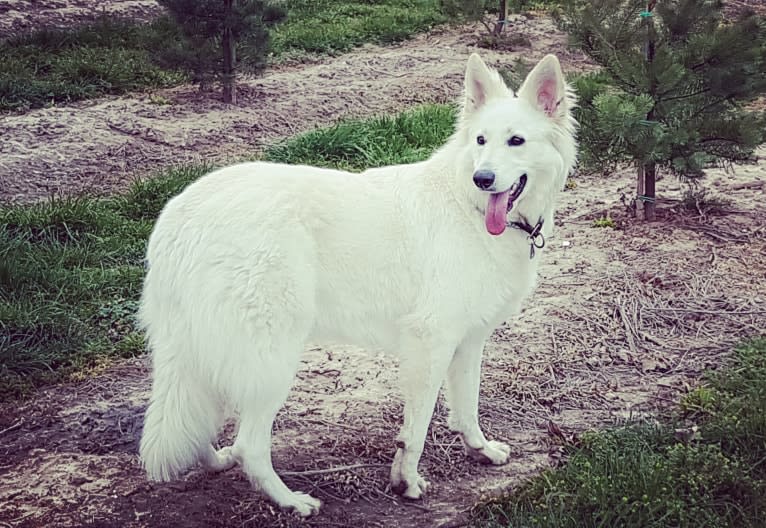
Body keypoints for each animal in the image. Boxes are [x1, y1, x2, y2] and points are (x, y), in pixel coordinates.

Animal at [140, 52, 576, 516]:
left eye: (516, 141)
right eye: (480, 141)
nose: (483, 178)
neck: (468, 205)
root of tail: (179, 219)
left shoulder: (468, 341)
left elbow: (467, 409)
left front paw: (481, 450)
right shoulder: (430, 342)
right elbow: (417, 427)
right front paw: (407, 482)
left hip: (206, 354)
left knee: (200, 419)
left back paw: (215, 460)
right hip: (273, 359)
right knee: (250, 447)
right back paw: (291, 501)